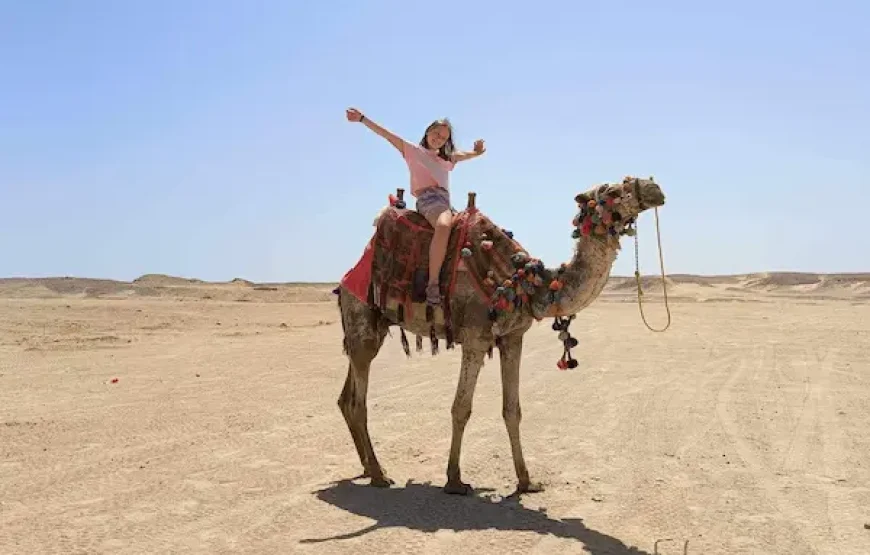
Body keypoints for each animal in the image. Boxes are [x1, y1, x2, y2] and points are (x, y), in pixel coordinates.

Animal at [335, 176, 666, 495]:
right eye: (611, 190)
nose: (655, 188)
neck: (522, 283)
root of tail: (345, 280)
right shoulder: (475, 338)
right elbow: (461, 409)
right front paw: (454, 481)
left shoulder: (513, 337)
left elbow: (512, 410)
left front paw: (526, 481)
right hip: (361, 317)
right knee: (358, 402)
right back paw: (379, 475)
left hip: (371, 328)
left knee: (345, 397)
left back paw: (368, 467)